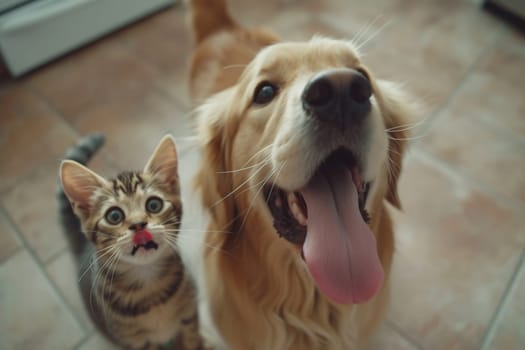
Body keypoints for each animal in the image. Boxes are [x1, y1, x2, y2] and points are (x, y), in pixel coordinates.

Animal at [58, 133, 204, 348]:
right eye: (114, 216)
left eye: (154, 205)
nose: (138, 224)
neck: (148, 286)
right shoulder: (135, 341)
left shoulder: (189, 312)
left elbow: (192, 339)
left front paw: (200, 343)